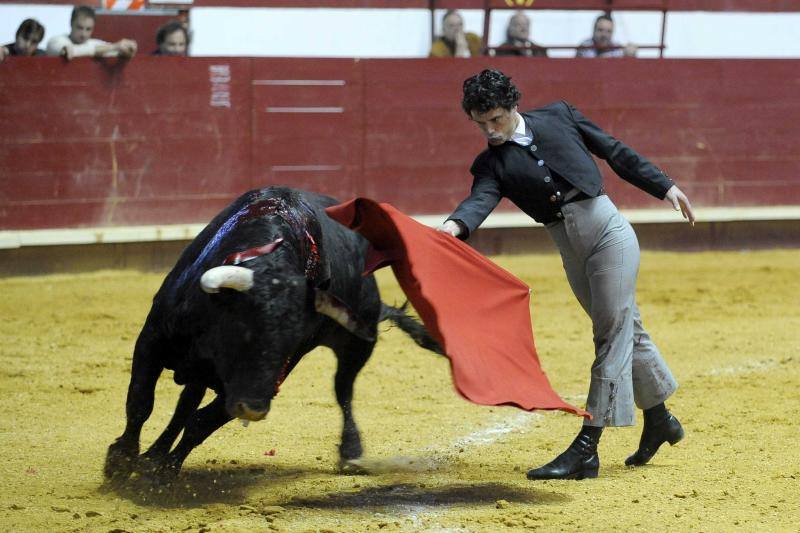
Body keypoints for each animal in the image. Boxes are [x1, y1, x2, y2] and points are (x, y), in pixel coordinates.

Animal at [103, 186, 440, 482]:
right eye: (243, 330)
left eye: (292, 342)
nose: (253, 409)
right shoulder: (151, 342)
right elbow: (141, 403)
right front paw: (121, 462)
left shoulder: (264, 381)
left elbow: (200, 422)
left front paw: (161, 472)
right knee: (183, 405)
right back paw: (150, 455)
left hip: (355, 347)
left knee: (343, 390)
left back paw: (351, 452)